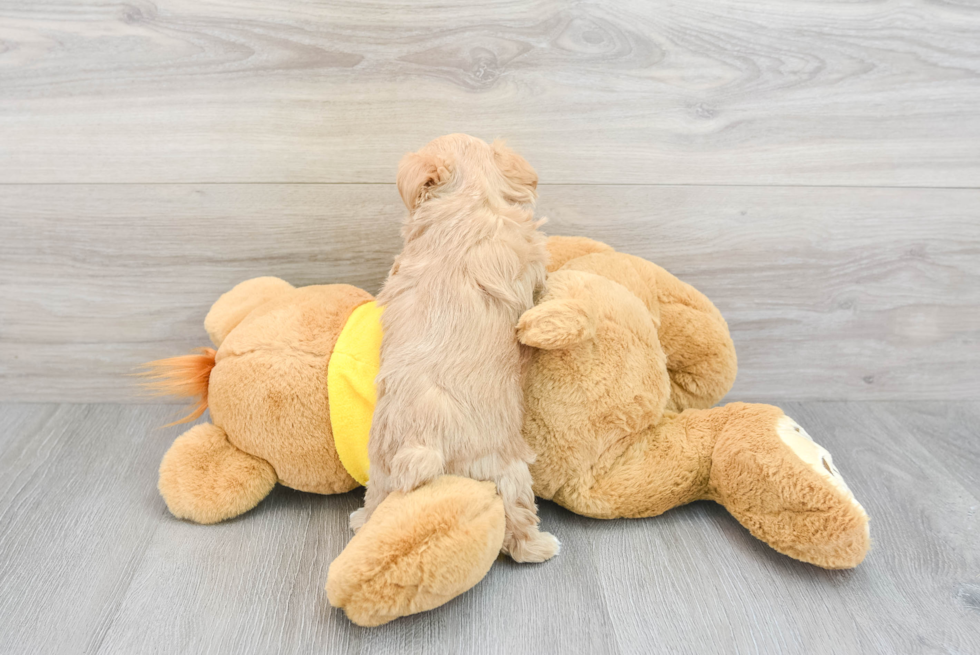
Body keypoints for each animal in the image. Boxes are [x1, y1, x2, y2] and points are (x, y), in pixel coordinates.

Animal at [350, 133, 560, 564]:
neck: (470, 198)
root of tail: (422, 442)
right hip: (504, 466)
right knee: (516, 520)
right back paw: (541, 547)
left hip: (381, 470)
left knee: (377, 503)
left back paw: (361, 523)